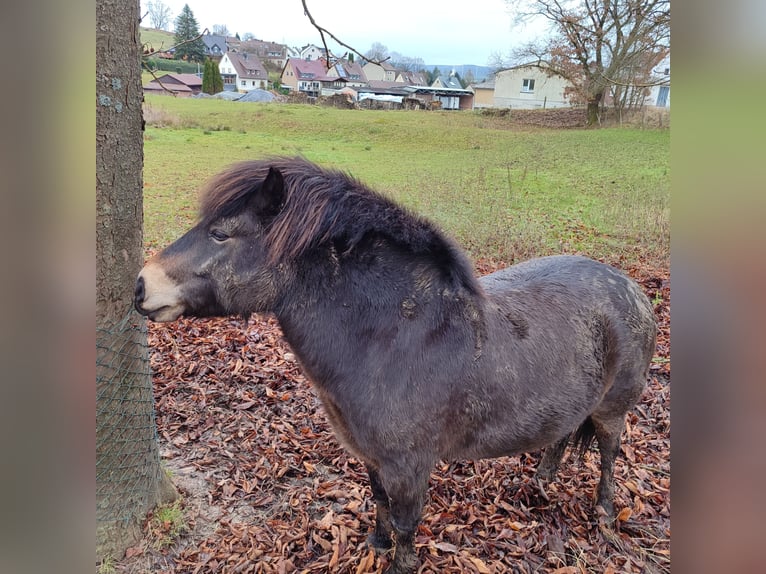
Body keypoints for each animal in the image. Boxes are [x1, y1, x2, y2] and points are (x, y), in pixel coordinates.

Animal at [135, 158, 656, 574]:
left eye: (221, 233)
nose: (141, 286)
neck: (392, 337)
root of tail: (631, 287)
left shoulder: (409, 468)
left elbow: (407, 525)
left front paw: (397, 560)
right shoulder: (372, 458)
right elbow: (379, 502)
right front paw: (376, 542)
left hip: (613, 410)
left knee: (608, 452)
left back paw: (605, 514)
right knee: (564, 433)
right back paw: (544, 479)